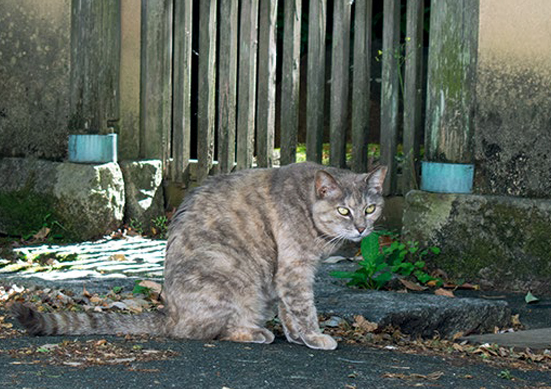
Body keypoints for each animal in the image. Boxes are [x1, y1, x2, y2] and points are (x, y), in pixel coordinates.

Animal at [10, 162, 386, 350]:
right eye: (342, 210)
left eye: (370, 208)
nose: (361, 228)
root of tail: (170, 314)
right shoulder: (295, 270)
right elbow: (304, 308)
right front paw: (314, 336)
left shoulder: (288, 274)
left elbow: (290, 311)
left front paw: (297, 337)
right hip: (235, 280)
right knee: (206, 331)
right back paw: (254, 333)